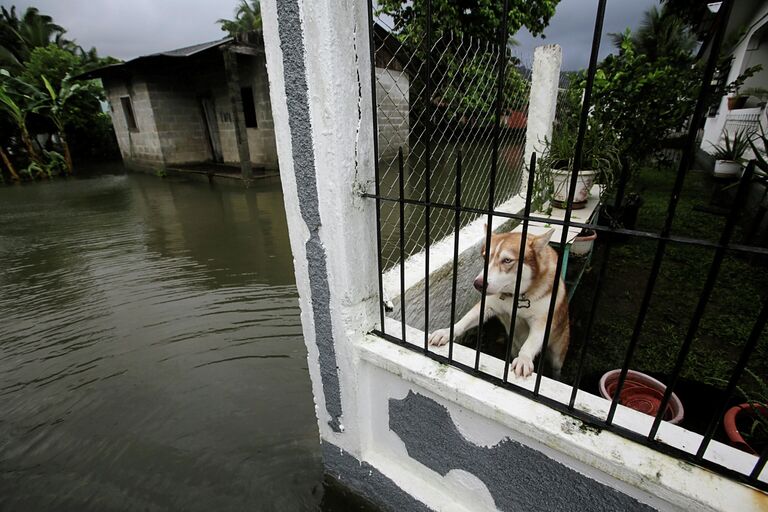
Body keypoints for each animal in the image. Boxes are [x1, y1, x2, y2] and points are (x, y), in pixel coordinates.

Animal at [428, 230, 568, 378]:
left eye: (507, 260)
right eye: (485, 257)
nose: (477, 284)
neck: (515, 296)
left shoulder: (542, 322)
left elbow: (530, 344)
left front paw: (524, 359)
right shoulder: (487, 305)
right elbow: (464, 321)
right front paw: (447, 332)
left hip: (557, 355)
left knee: (556, 369)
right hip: (513, 347)